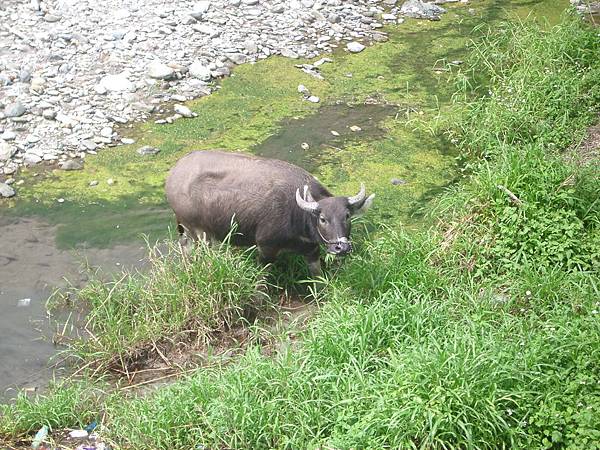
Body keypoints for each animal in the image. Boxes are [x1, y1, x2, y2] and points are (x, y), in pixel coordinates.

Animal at [164, 151, 376, 276]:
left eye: (347, 216)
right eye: (323, 219)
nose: (341, 248)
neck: (297, 214)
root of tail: (173, 175)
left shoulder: (311, 250)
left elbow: (317, 276)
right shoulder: (266, 247)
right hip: (200, 232)